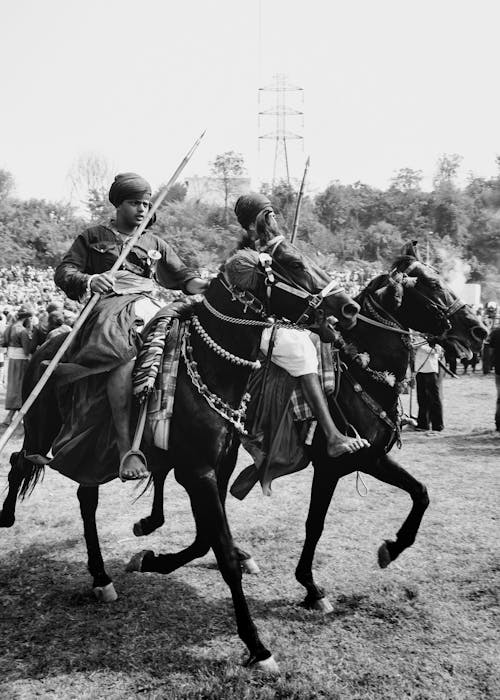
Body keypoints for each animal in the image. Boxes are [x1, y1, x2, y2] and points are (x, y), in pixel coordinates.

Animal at [0, 215, 360, 672]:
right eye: (295, 263)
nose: (349, 308)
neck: (212, 367)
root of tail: (50, 340)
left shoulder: (218, 465)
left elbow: (208, 538)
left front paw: (151, 558)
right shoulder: (198, 471)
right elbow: (221, 553)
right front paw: (256, 646)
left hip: (89, 448)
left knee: (85, 497)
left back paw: (100, 576)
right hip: (41, 425)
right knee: (19, 460)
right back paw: (8, 518)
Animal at [129, 245, 488, 612]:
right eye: (433, 284)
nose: (480, 330)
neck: (364, 373)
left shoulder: (372, 459)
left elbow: (421, 493)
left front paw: (392, 547)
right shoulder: (334, 466)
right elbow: (315, 523)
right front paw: (311, 586)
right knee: (170, 478)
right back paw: (154, 527)